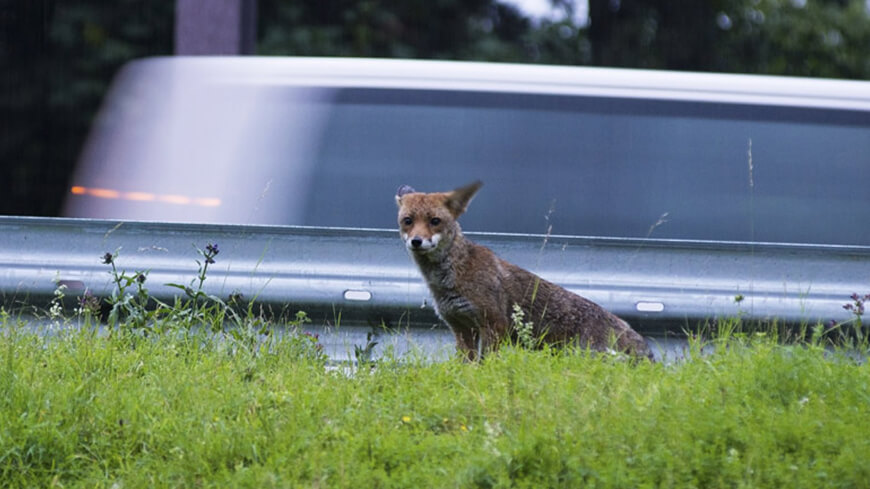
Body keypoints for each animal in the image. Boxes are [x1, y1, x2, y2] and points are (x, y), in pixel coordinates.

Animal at [396, 181, 656, 360]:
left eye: (435, 221)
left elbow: (485, 363)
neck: (448, 280)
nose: (417, 241)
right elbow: (466, 365)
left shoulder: (494, 323)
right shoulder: (461, 327)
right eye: (408, 221)